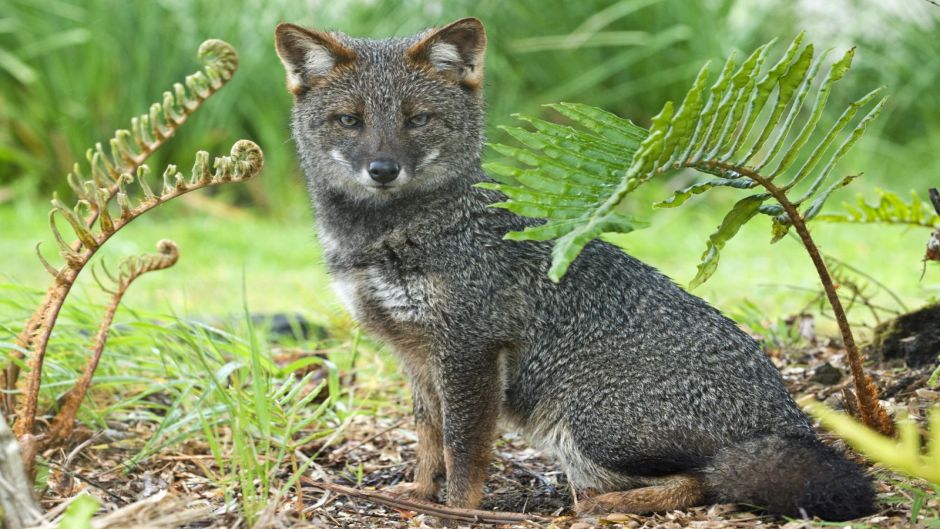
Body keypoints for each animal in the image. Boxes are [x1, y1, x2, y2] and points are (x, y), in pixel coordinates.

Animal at [273, 17, 875, 521]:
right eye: (349, 122)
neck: (382, 238)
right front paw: (420, 495)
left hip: (583, 427)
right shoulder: (417, 355)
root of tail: (789, 416)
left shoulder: (470, 349)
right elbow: (428, 440)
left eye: (417, 120)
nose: (383, 169)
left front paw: (457, 511)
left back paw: (602, 505)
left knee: (704, 481)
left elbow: (464, 450)